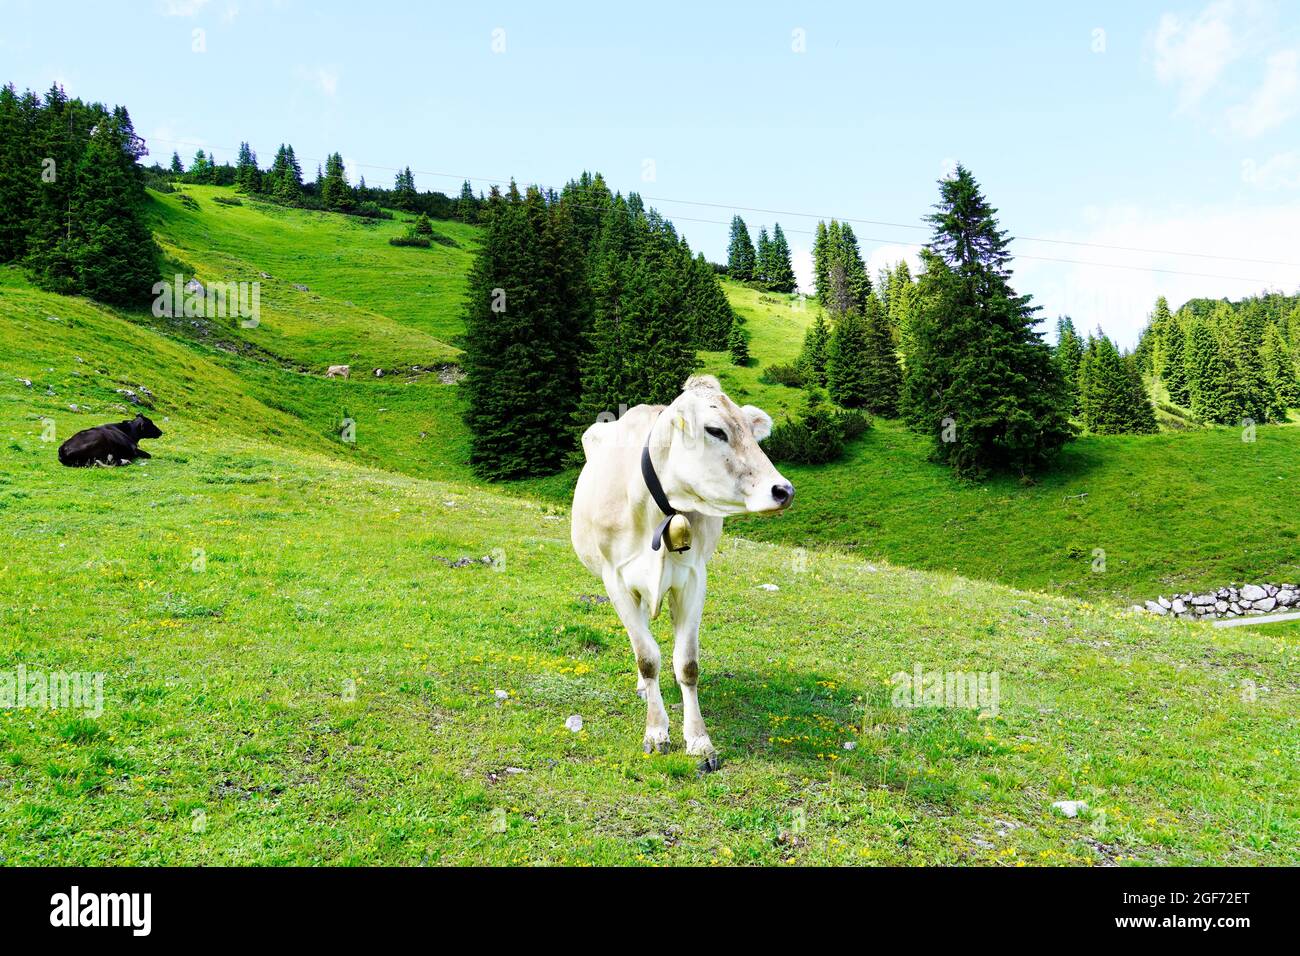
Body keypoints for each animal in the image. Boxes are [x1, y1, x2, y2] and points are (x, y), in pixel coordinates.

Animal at [569, 374, 790, 770]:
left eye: (752, 432)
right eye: (715, 430)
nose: (784, 490)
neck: (659, 507)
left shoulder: (693, 579)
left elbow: (687, 664)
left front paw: (699, 740)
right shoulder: (615, 579)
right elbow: (647, 658)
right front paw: (656, 731)